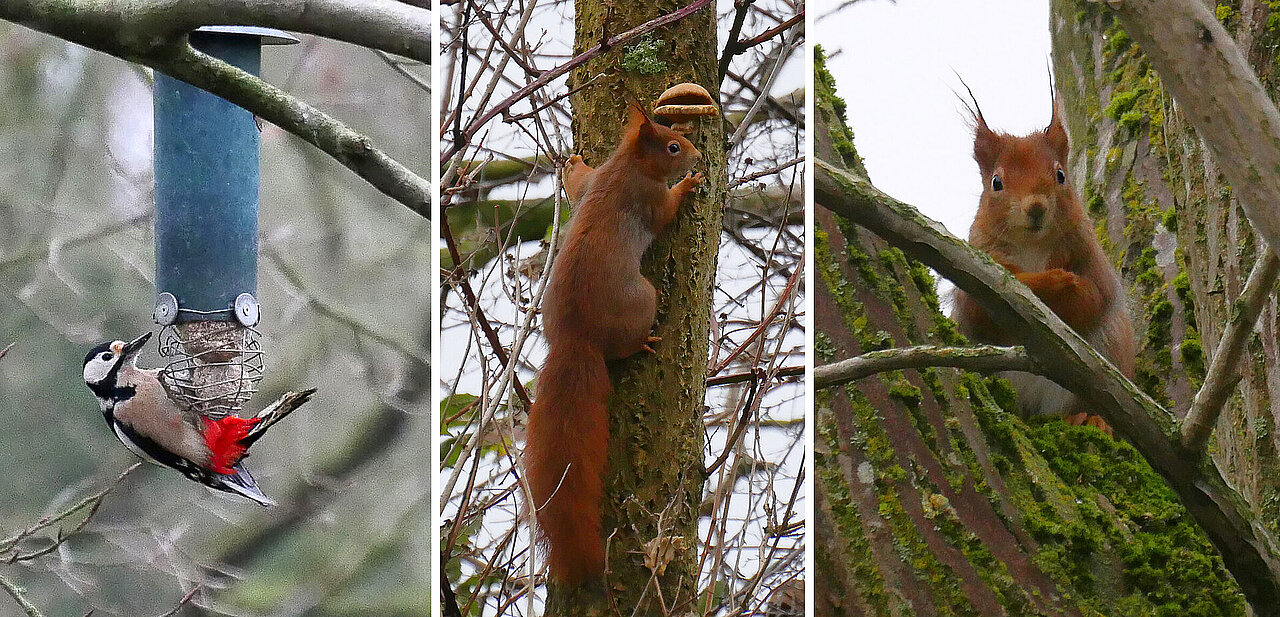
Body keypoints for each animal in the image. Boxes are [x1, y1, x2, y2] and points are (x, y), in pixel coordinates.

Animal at [524, 103, 704, 585]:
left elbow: (579, 185)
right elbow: (667, 211)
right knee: (623, 347)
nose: (697, 154)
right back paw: (641, 345)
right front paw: (689, 184)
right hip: (643, 299)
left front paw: (572, 165)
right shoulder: (648, 199)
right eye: (674, 147)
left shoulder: (597, 180)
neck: (627, 164)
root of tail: (575, 338)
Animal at [951, 98, 1135, 437]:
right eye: (996, 182)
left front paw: (1065, 283)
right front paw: (1047, 281)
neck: (1032, 246)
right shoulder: (974, 266)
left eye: (1061, 175)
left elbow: (1093, 299)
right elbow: (983, 309)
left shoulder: (1092, 262)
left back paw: (1092, 419)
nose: (1035, 207)